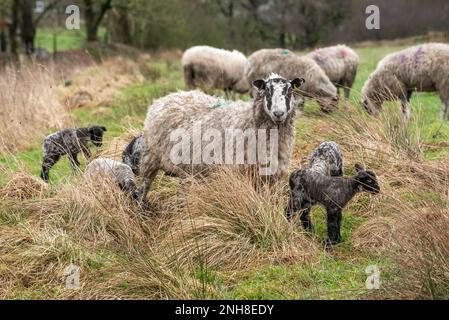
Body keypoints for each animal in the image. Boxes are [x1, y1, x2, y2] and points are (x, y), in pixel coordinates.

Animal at [139, 74, 304, 201]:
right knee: (143, 185)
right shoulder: (240, 173)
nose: (278, 113)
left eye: (289, 91)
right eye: (267, 92)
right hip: (150, 157)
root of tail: (163, 99)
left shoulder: (270, 177)